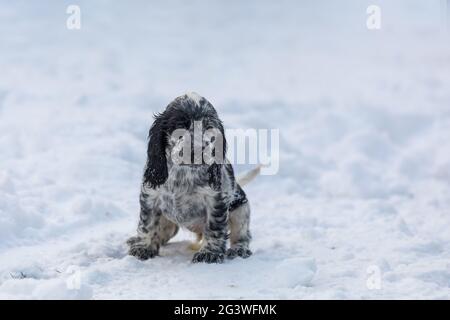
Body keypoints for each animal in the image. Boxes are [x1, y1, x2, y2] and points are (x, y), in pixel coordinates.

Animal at [128, 92, 258, 262]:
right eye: (180, 125)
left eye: (209, 127)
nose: (197, 149)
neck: (183, 172)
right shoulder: (150, 196)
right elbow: (147, 223)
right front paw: (143, 247)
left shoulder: (216, 200)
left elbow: (215, 227)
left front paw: (210, 253)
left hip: (241, 209)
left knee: (242, 234)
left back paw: (238, 249)